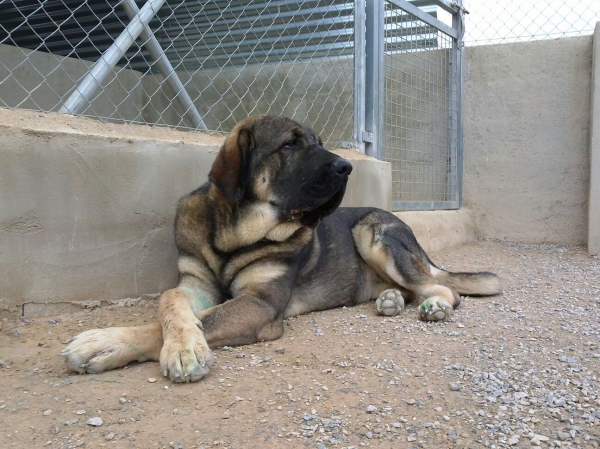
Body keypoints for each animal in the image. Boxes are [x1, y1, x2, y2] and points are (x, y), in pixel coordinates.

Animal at [62, 115, 502, 382]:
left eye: (320, 143)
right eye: (289, 145)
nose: (347, 167)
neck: (234, 235)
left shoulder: (260, 304)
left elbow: (201, 320)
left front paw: (111, 343)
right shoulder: (195, 285)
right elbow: (171, 302)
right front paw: (173, 340)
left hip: (374, 234)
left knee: (443, 287)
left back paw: (435, 305)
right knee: (412, 289)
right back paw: (390, 300)